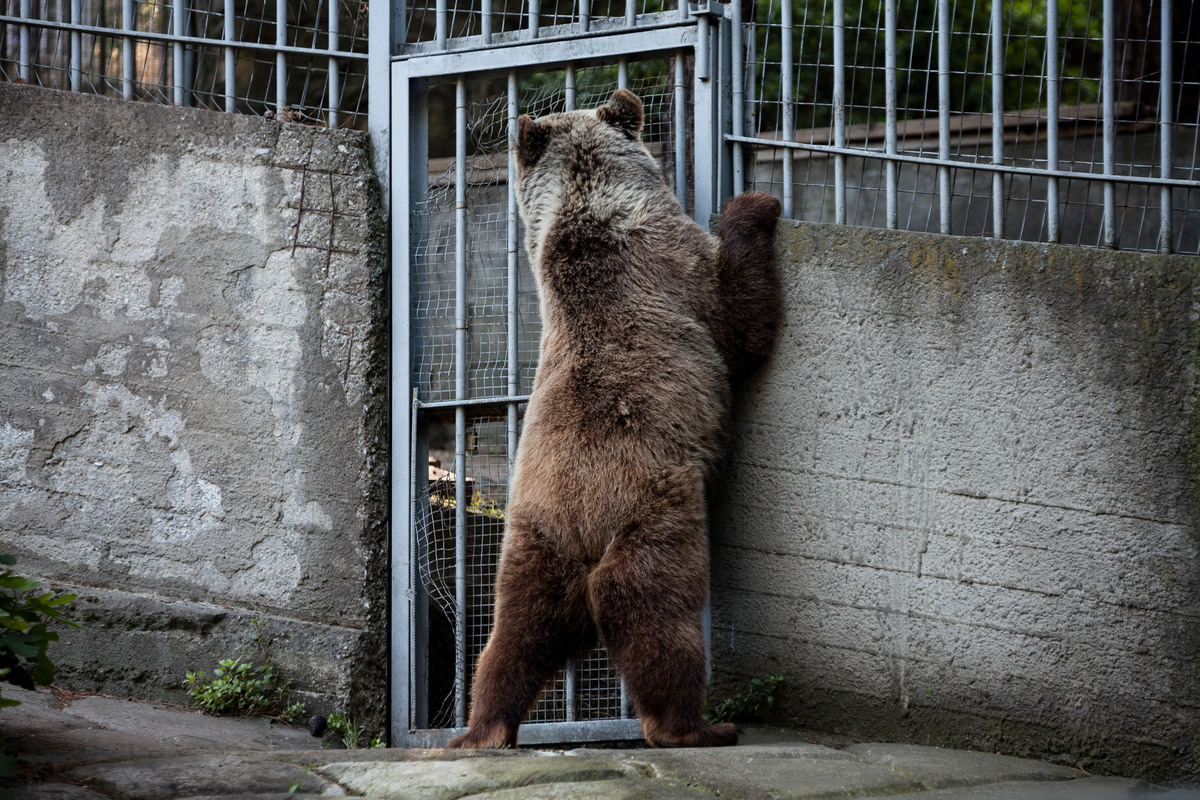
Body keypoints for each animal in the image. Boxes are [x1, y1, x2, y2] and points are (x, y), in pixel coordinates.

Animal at [448, 89, 777, 753]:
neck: (585, 211)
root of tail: (580, 525)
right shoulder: (679, 271)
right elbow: (740, 313)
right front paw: (755, 206)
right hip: (653, 513)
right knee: (656, 614)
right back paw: (697, 725)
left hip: (529, 538)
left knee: (513, 634)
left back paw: (481, 729)